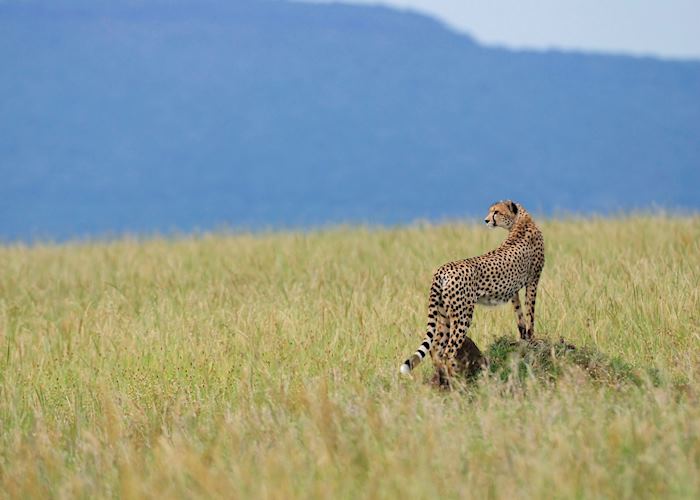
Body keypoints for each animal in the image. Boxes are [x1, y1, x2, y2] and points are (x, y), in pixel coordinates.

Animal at [399, 200, 545, 384]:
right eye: (491, 211)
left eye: (496, 212)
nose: (486, 220)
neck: (521, 222)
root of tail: (442, 268)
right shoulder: (533, 280)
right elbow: (530, 313)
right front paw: (532, 339)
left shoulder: (515, 290)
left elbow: (520, 316)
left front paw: (524, 338)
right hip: (463, 315)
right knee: (448, 351)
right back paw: (454, 380)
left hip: (444, 314)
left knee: (436, 348)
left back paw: (442, 378)